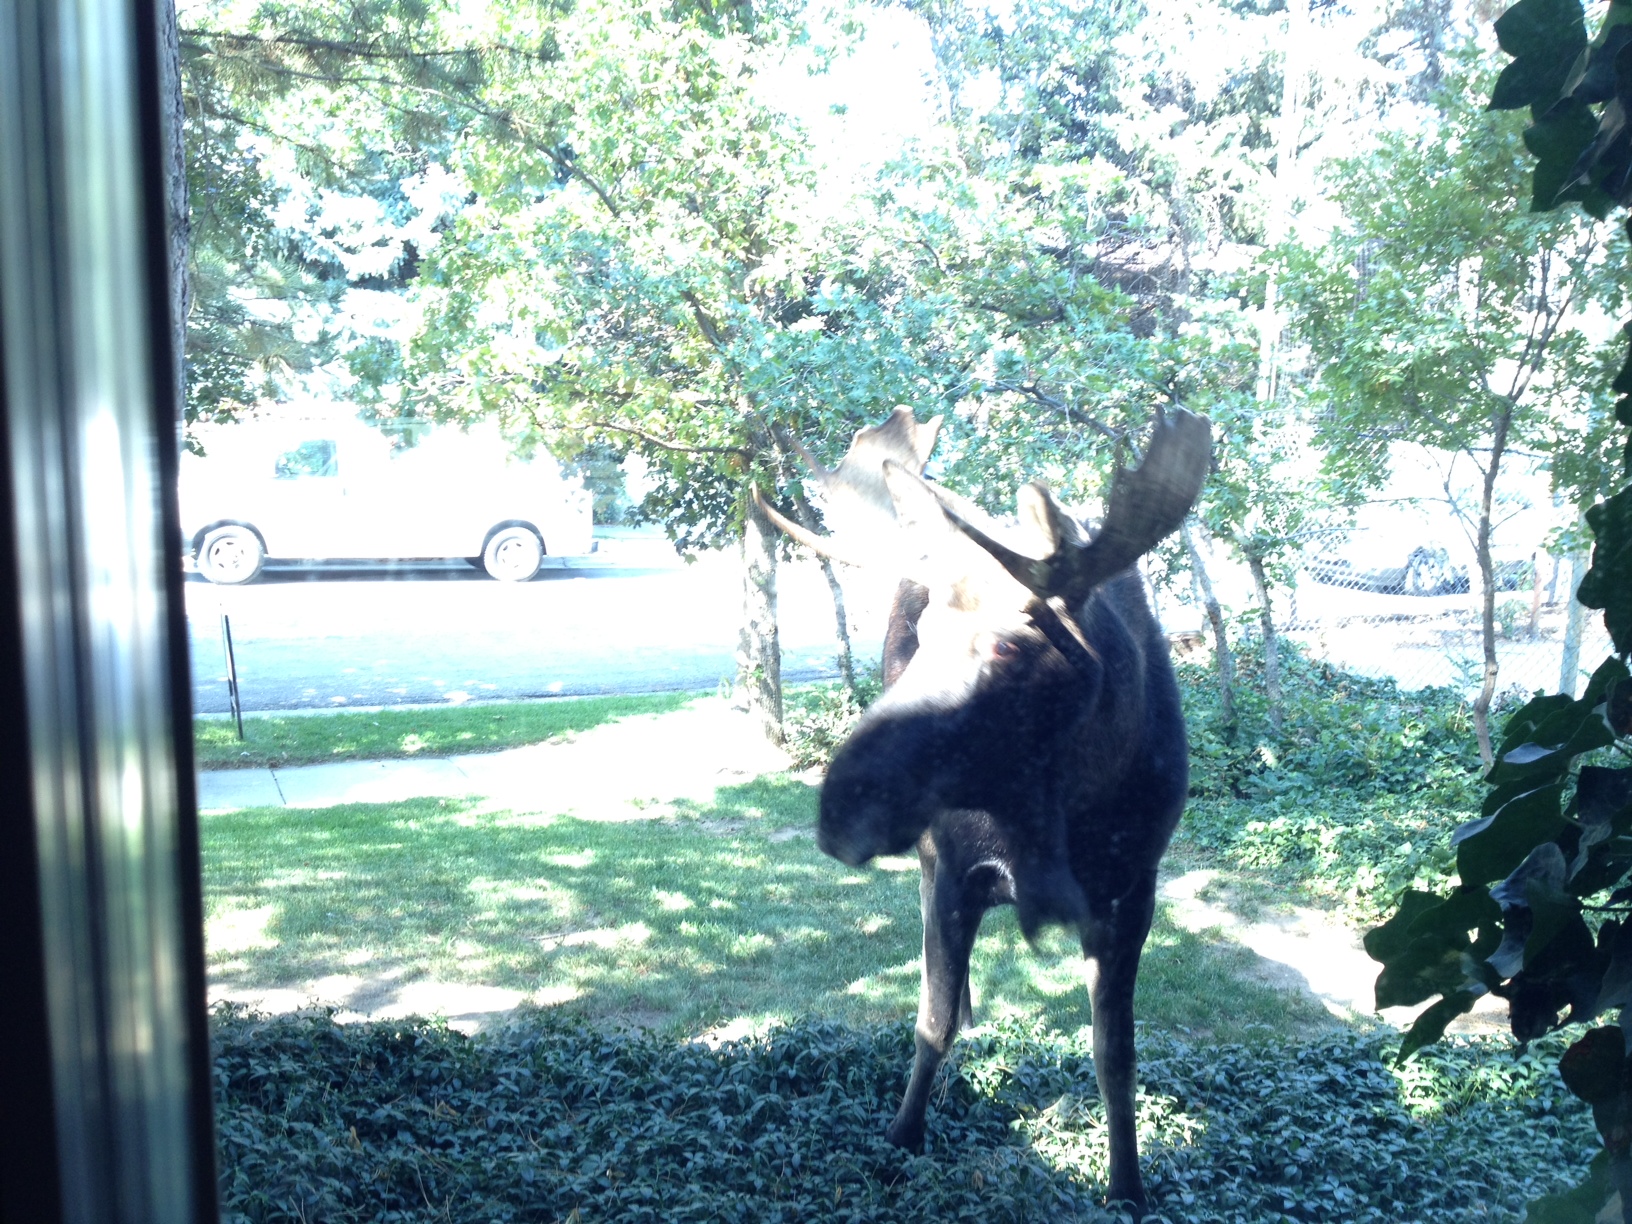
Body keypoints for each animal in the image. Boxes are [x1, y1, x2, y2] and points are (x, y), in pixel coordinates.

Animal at [757, 405, 1211, 1215]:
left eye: (1007, 646)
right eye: (923, 635)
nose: (841, 808)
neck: (1070, 819)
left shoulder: (1135, 890)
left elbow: (1117, 1053)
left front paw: (1127, 1185)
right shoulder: (959, 872)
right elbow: (931, 1025)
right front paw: (901, 1139)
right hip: (931, 852)